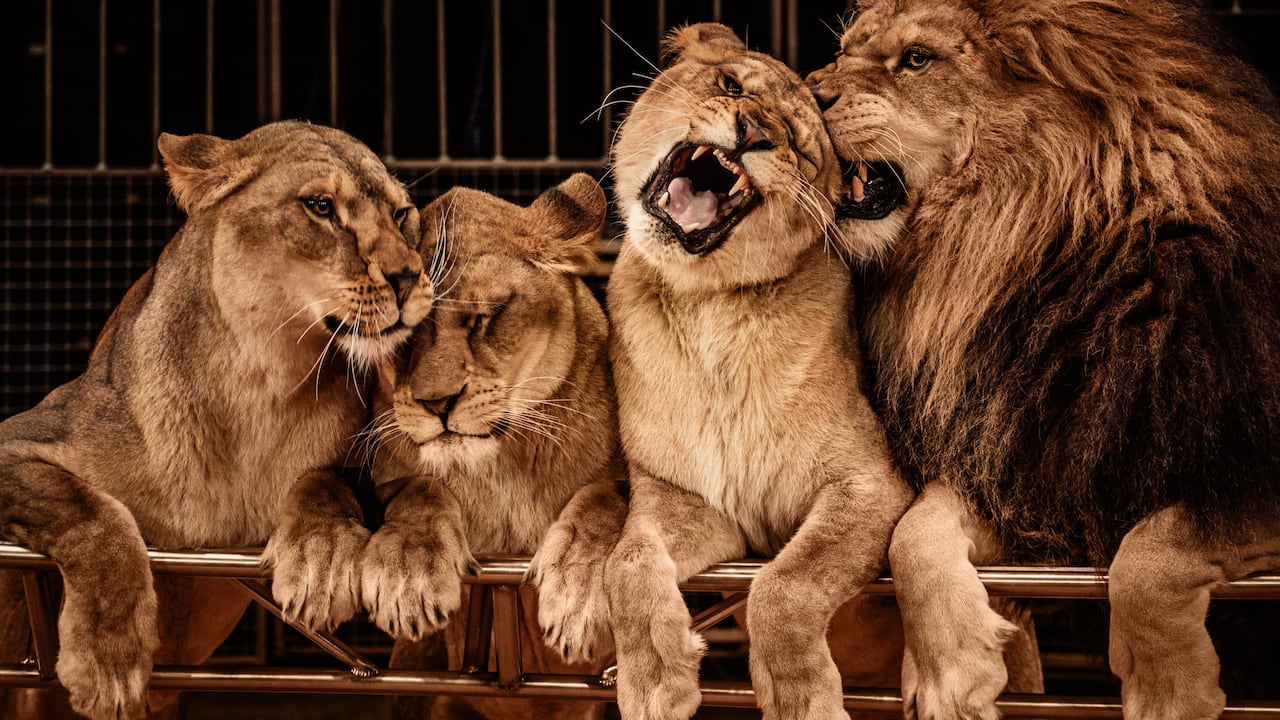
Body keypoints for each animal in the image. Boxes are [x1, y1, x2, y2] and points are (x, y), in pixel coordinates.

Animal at [0, 120, 432, 720]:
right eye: (320, 206)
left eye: (401, 213)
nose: (410, 277)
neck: (260, 381)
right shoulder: (19, 440)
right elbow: (90, 512)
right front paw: (109, 661)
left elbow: (326, 480)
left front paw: (319, 560)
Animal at [283, 173, 626, 720]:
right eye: (400, 337)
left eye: (486, 316)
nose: (437, 402)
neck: (498, 470)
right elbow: (390, 485)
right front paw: (392, 573)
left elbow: (609, 497)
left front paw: (578, 592)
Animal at [601, 23, 915, 720]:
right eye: (731, 86)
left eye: (797, 145)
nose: (751, 131)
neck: (709, 304)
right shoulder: (682, 496)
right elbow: (627, 562)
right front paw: (656, 679)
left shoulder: (870, 484)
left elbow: (787, 584)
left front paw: (801, 698)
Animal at [807, 0, 1280, 718]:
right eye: (843, 50)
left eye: (916, 59)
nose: (804, 92)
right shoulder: (1030, 465)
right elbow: (914, 532)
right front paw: (951, 671)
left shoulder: (1242, 477)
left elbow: (1154, 552)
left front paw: (1168, 690)